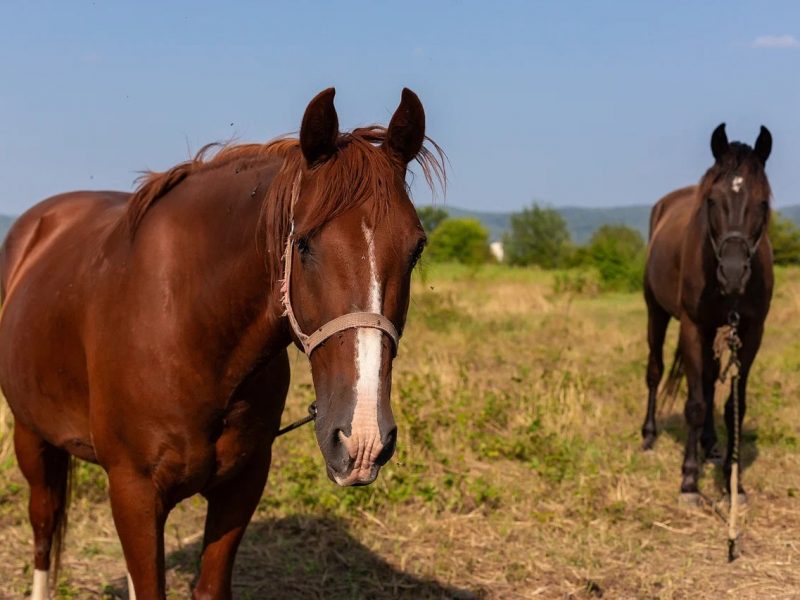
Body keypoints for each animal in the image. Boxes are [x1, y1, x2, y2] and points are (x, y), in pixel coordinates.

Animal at [0, 87, 444, 599]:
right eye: (304, 243)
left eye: (416, 248)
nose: (363, 438)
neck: (190, 326)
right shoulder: (134, 491)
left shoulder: (242, 485)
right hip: (31, 436)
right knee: (44, 526)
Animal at [640, 123, 773, 502]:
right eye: (712, 201)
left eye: (762, 203)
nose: (733, 274)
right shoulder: (693, 326)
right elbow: (696, 404)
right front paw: (689, 481)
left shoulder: (751, 333)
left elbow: (732, 406)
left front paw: (733, 482)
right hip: (656, 313)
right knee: (655, 371)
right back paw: (649, 436)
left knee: (711, 381)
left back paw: (711, 446)